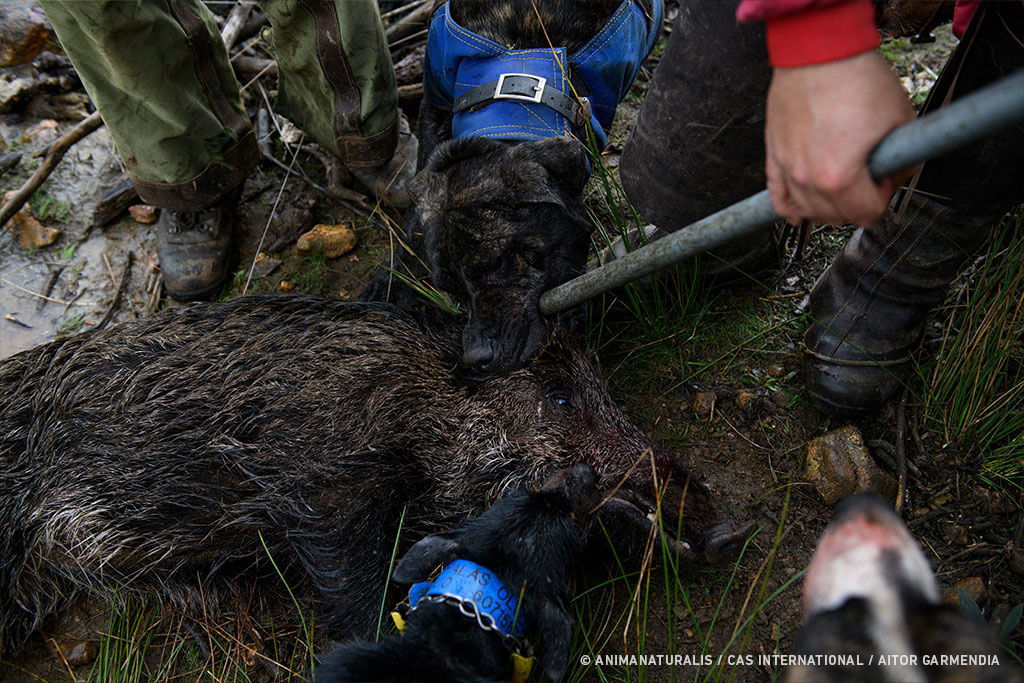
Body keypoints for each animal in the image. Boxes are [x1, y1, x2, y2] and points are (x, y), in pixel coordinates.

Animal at [366, 0, 663, 376]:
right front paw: (394, 281)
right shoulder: (433, 103)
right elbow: (418, 207)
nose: (475, 358)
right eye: (451, 289)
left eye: (495, 266)